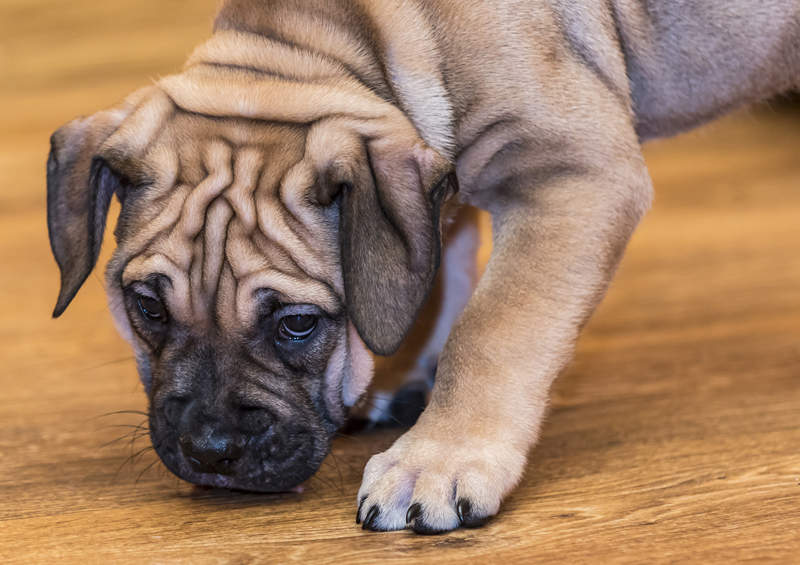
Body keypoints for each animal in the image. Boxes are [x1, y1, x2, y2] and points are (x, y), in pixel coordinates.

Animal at [47, 0, 796, 532]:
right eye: (147, 308)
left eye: (297, 324)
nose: (210, 449)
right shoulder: (441, 189)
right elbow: (434, 278)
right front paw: (406, 380)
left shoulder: (572, 173)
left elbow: (491, 329)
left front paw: (440, 457)